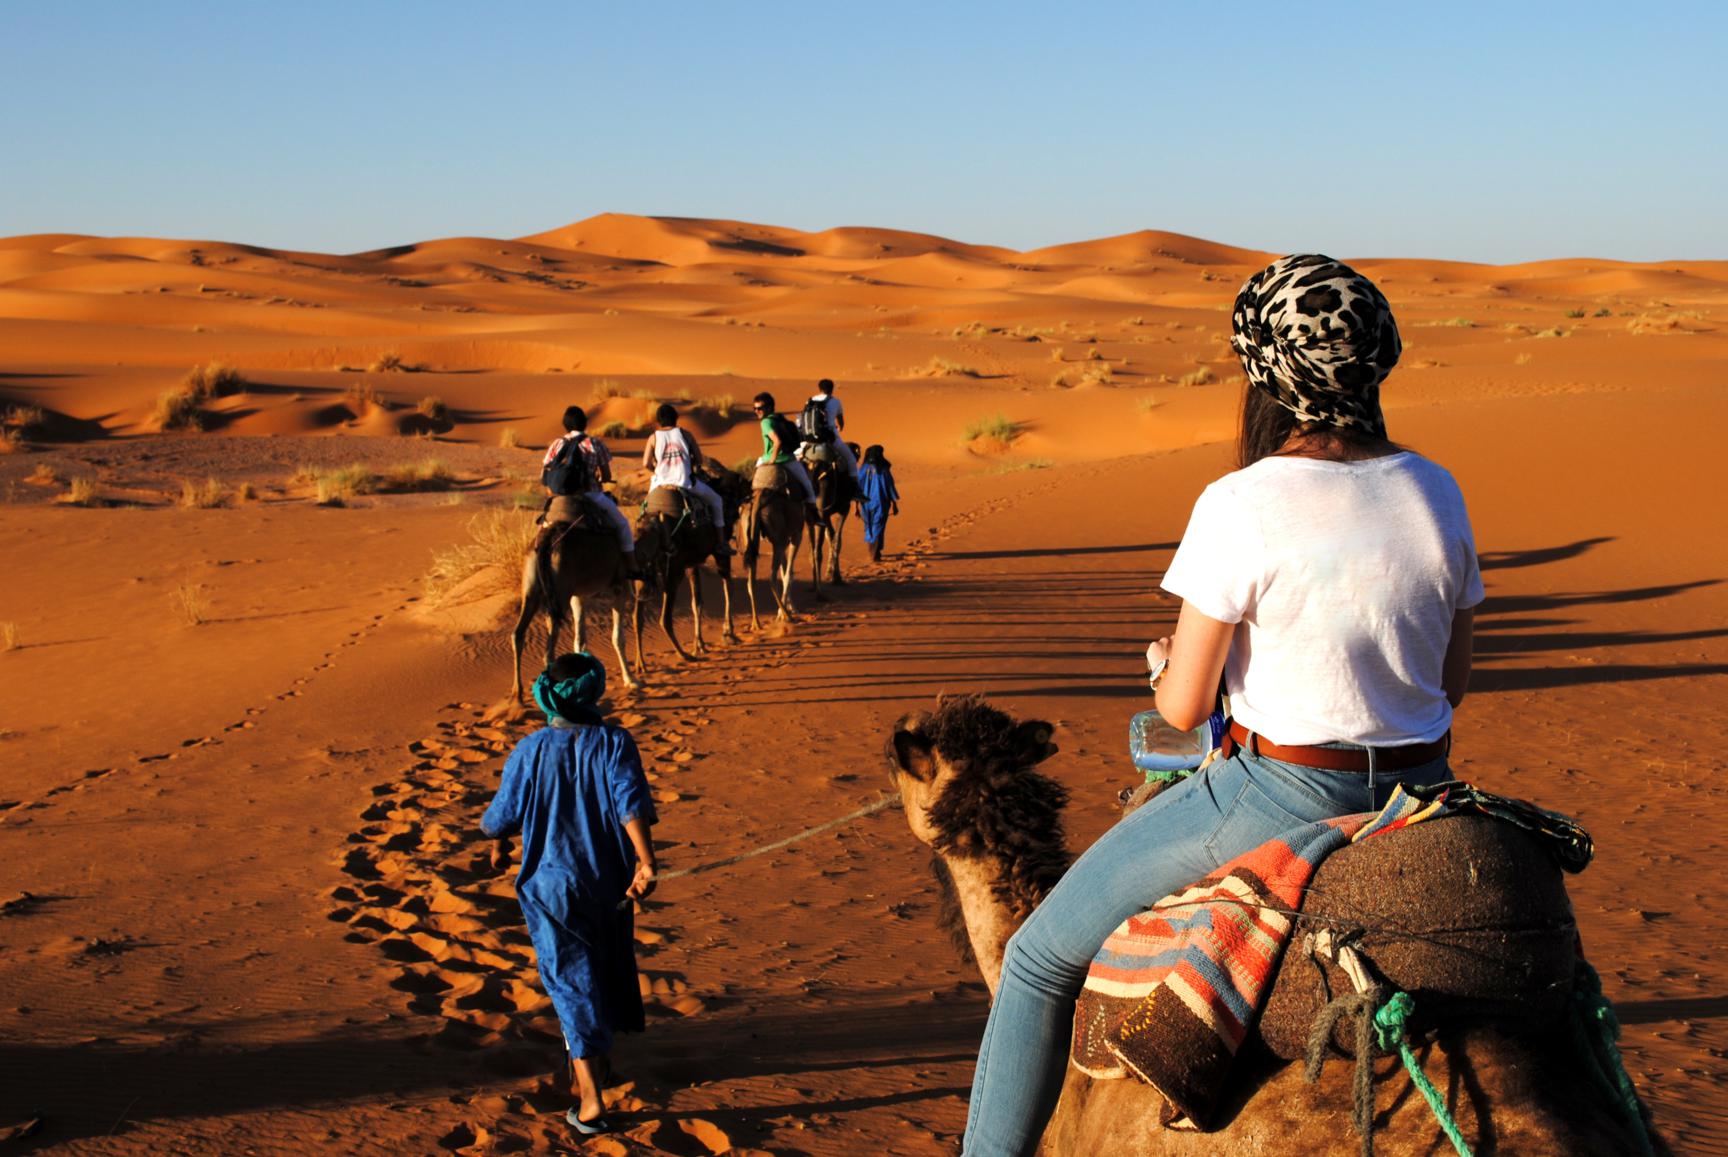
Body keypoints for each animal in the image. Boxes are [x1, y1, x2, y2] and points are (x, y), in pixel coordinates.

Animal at [514, 511, 646, 701]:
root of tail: (546, 541)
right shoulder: (618, 588)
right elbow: (618, 637)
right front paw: (631, 680)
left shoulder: (578, 596)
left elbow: (580, 640)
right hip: (560, 592)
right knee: (548, 653)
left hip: (531, 589)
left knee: (518, 633)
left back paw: (517, 695)